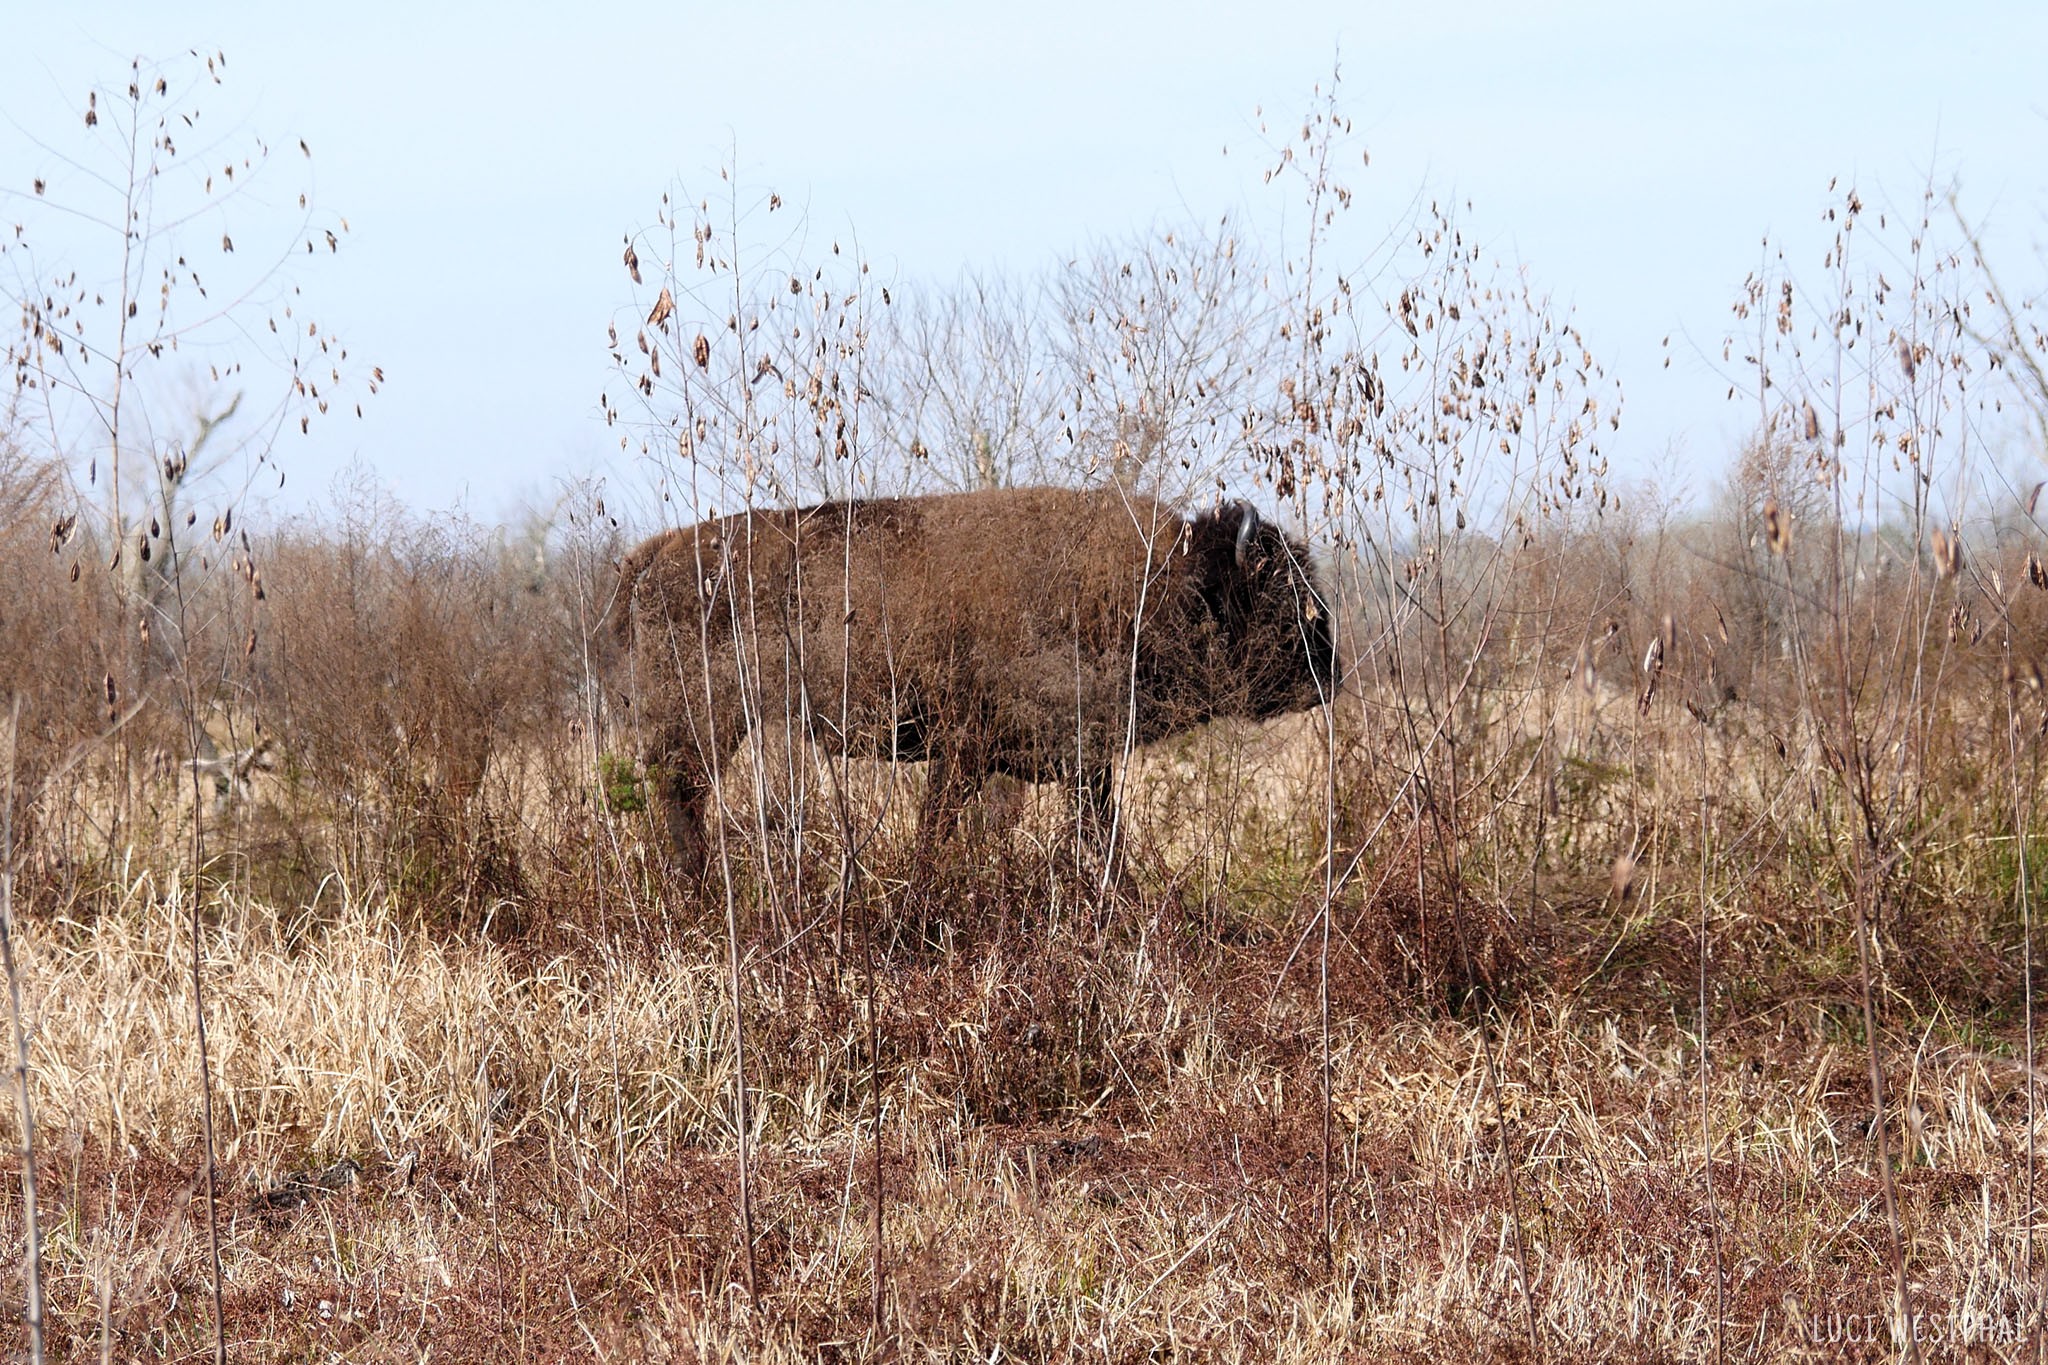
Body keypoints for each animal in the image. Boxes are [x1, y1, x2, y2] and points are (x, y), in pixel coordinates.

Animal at [611, 485, 1334, 879]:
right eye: (1276, 595)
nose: (1329, 670)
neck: (1158, 584)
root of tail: (653, 555)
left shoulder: (1075, 762)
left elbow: (1099, 835)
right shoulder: (966, 749)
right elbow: (938, 829)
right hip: (706, 723)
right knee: (682, 799)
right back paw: (699, 886)